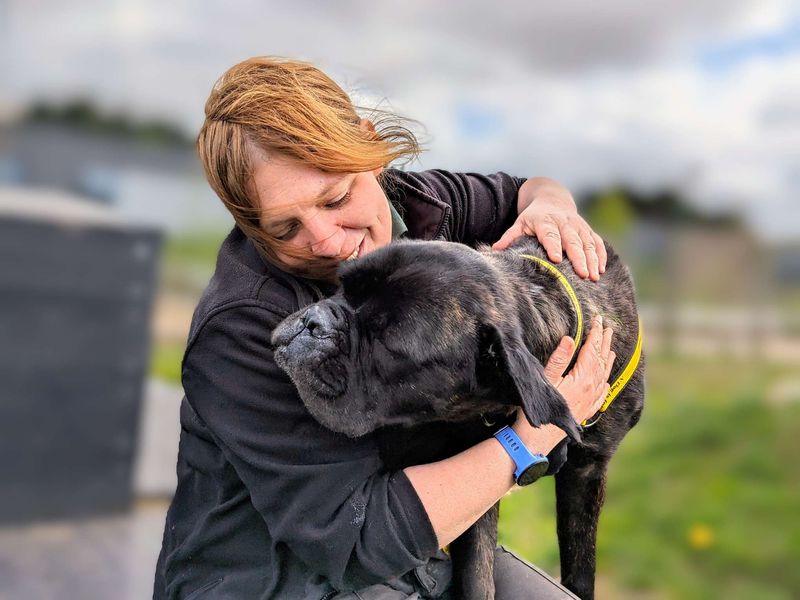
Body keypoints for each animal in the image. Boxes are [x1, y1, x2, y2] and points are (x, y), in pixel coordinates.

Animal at [274, 238, 644, 600]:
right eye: (343, 285)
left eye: (387, 344)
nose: (315, 322)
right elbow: (477, 575)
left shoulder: (586, 472)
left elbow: (580, 565)